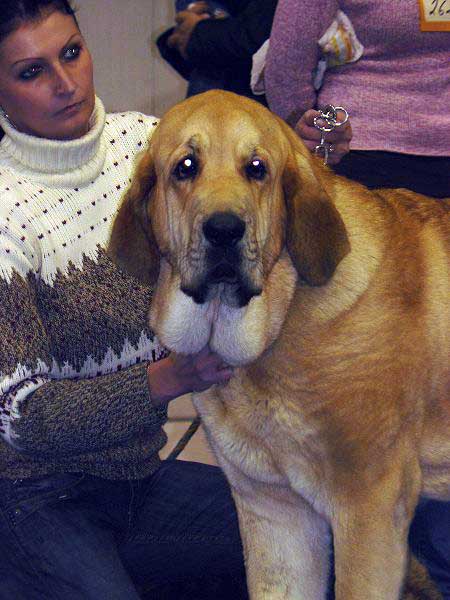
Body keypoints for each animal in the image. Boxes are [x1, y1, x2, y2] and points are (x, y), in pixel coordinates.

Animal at [108, 90, 446, 600]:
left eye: (257, 168)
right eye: (186, 167)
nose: (224, 229)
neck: (281, 321)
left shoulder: (370, 507)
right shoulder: (275, 516)